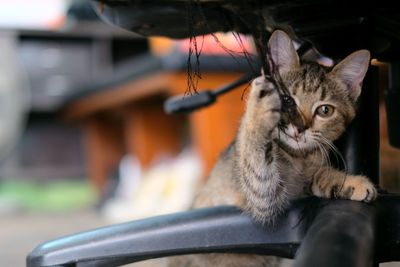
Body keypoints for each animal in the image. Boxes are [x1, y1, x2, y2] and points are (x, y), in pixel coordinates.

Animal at [170, 29, 376, 267]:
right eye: (287, 100)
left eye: (325, 110)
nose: (300, 127)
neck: (298, 157)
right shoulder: (262, 197)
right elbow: (256, 155)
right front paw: (259, 109)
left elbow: (320, 175)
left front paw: (351, 183)